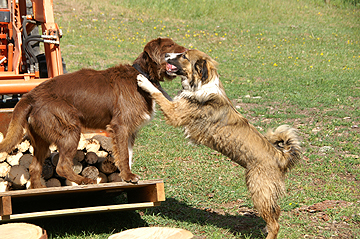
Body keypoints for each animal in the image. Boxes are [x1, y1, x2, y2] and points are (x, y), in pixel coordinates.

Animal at [0, 37, 186, 188]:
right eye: (170, 46)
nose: (186, 52)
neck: (143, 74)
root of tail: (30, 95)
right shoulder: (121, 126)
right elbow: (124, 154)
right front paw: (128, 176)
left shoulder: (131, 131)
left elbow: (128, 154)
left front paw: (125, 176)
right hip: (69, 129)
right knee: (62, 166)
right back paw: (84, 180)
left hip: (42, 138)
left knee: (34, 167)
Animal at [137, 49, 300, 239]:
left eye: (184, 56)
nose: (166, 55)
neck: (201, 83)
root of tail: (281, 156)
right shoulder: (178, 105)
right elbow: (164, 93)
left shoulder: (175, 114)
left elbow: (158, 94)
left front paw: (144, 81)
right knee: (276, 213)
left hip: (259, 190)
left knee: (275, 224)